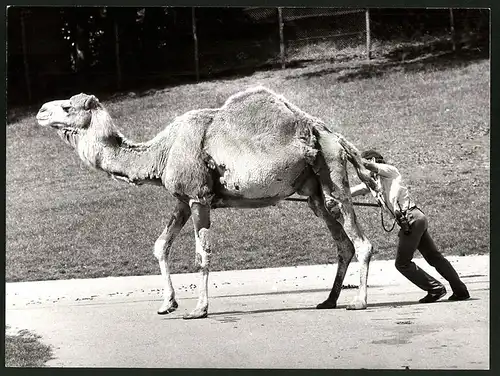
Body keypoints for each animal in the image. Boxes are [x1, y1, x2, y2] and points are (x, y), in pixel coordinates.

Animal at [36, 86, 378, 318]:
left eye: (66, 107)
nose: (40, 111)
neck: (162, 152)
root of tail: (332, 134)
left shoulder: (198, 197)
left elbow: (202, 255)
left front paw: (198, 309)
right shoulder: (182, 200)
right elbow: (160, 246)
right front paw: (167, 304)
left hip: (332, 172)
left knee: (361, 242)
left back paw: (358, 302)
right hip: (314, 191)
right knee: (342, 241)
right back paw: (328, 300)